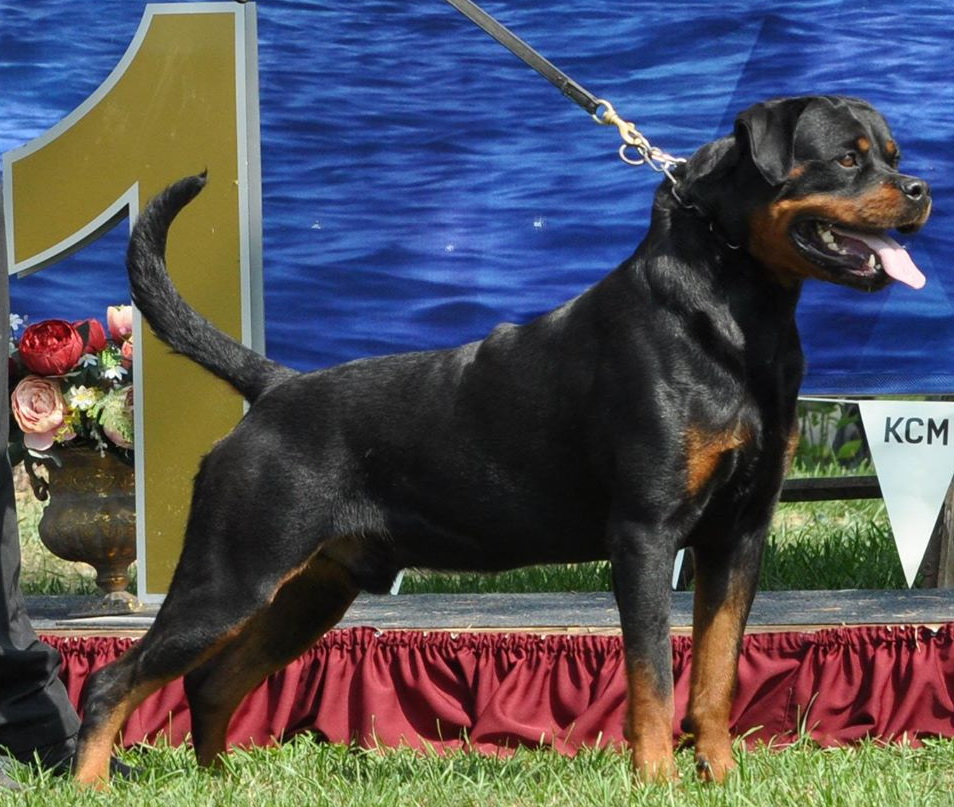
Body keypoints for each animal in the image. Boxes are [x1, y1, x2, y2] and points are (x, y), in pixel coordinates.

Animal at [74, 93, 928, 784]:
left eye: (892, 153)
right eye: (847, 156)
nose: (921, 190)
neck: (738, 310)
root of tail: (276, 386)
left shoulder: (738, 535)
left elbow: (717, 674)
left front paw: (719, 777)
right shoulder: (646, 534)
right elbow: (653, 675)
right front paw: (658, 780)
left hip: (312, 587)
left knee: (211, 682)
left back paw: (221, 781)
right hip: (233, 571)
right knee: (114, 681)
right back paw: (91, 782)